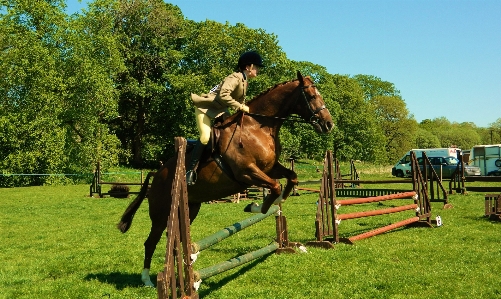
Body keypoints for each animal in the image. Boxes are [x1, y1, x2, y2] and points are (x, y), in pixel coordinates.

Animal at [116, 71, 332, 288]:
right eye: (311, 96)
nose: (328, 124)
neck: (257, 127)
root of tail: (157, 174)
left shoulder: (270, 168)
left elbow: (291, 179)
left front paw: (274, 204)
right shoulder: (247, 173)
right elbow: (276, 187)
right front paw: (255, 206)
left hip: (190, 208)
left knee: (176, 240)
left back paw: (186, 264)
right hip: (161, 213)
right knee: (151, 241)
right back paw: (147, 280)